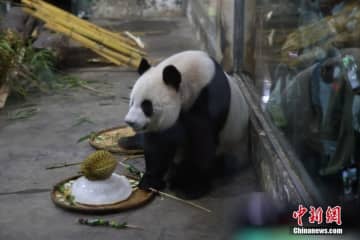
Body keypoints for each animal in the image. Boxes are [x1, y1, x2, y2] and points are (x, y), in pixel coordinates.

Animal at [123, 50, 248, 199]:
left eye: (146, 106)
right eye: (132, 101)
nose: (130, 121)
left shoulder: (209, 98)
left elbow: (202, 144)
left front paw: (192, 187)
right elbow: (158, 144)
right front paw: (150, 180)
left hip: (233, 145)